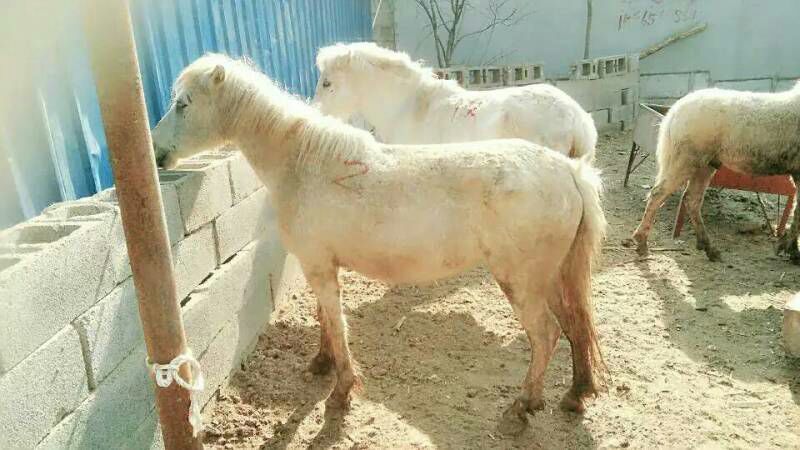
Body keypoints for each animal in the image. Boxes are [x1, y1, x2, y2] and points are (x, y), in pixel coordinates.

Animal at [631, 82, 800, 263]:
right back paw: (642, 243)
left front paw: (791, 250)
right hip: (685, 160)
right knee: (658, 194)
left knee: (691, 199)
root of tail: (673, 112)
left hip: (705, 165)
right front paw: (789, 249)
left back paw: (708, 248)